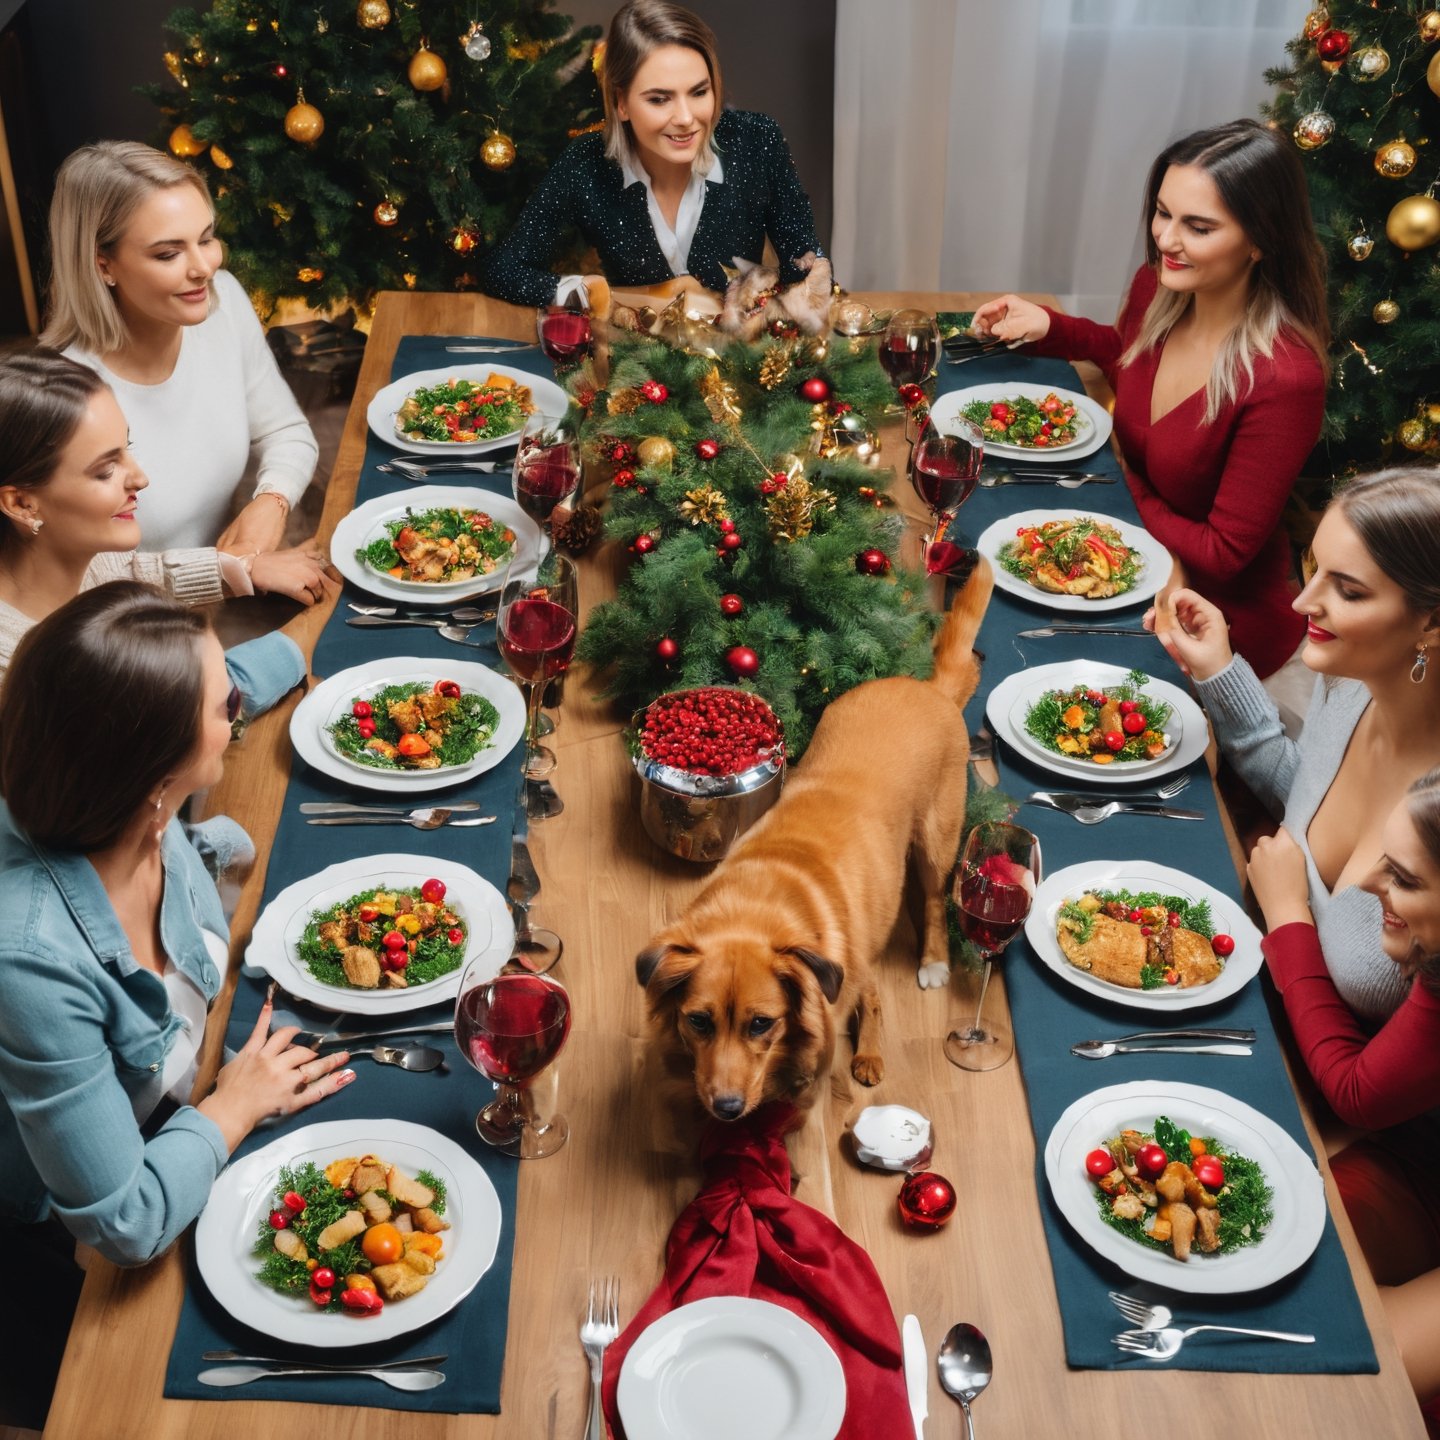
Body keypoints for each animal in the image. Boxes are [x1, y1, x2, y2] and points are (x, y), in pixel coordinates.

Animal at [639, 558, 990, 1123]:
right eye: (698, 1021)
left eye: (762, 1024)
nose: (727, 1108)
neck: (760, 905)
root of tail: (931, 689)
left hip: (937, 837)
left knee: (935, 901)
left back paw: (931, 965)